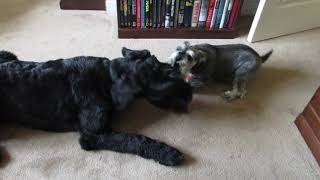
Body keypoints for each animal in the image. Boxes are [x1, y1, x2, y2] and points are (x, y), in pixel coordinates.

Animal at [0, 48, 192, 166]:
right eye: (165, 78)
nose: (189, 93)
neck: (106, 77)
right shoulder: (93, 134)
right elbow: (133, 139)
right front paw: (167, 153)